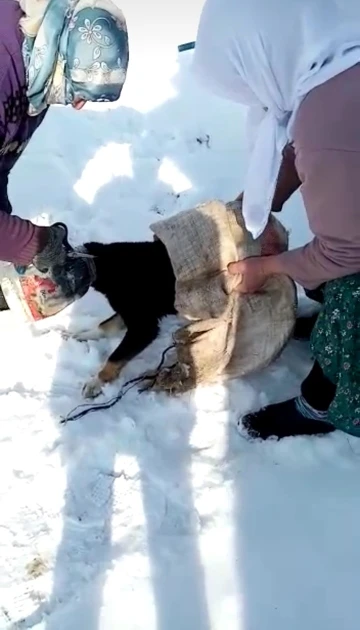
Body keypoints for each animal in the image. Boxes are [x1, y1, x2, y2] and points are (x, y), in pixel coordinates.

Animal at [70, 242, 176, 400]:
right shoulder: (127, 312)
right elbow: (106, 325)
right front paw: (84, 335)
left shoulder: (144, 326)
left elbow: (115, 358)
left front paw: (96, 383)